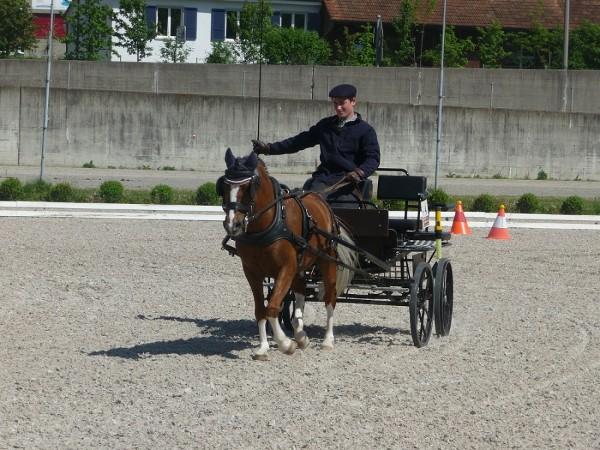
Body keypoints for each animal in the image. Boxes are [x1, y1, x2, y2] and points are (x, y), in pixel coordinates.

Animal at [218, 148, 358, 360]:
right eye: (224, 185)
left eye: (249, 187)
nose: (232, 225)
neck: (266, 225)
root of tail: (320, 199)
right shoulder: (252, 272)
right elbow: (261, 310)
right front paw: (263, 347)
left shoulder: (286, 268)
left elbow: (273, 307)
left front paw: (285, 344)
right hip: (299, 265)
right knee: (300, 291)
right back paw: (300, 335)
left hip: (327, 261)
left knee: (330, 298)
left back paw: (327, 340)